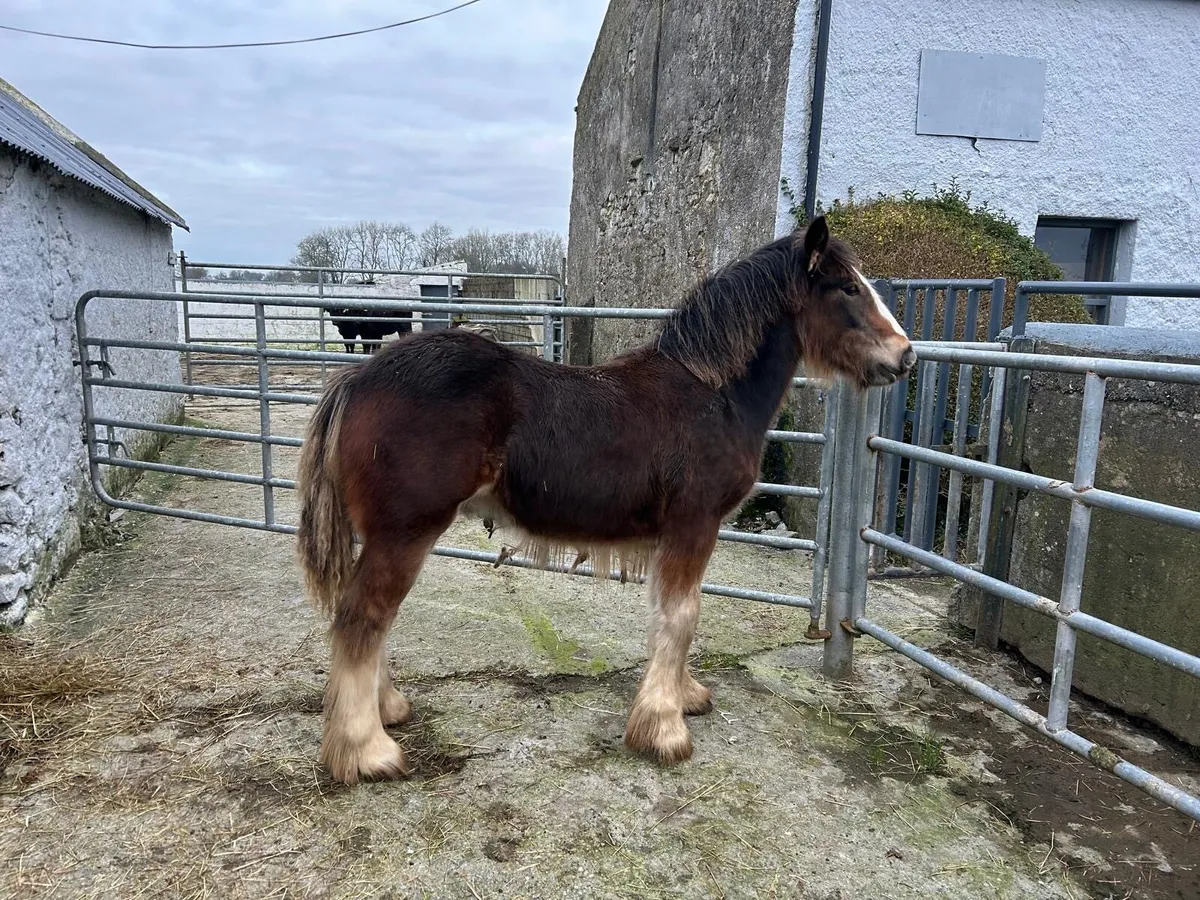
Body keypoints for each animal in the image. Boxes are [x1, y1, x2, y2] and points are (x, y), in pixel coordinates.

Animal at [296, 217, 915, 784]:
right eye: (847, 288)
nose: (905, 356)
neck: (712, 393)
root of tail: (356, 380)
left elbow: (670, 613)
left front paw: (684, 696)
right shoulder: (695, 524)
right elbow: (683, 615)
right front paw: (664, 729)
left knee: (369, 617)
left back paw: (386, 710)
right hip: (406, 531)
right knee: (363, 618)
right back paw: (365, 750)